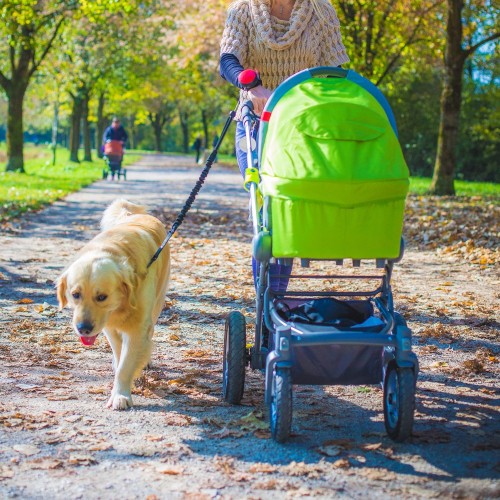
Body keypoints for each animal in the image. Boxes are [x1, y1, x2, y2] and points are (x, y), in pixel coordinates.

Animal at [56, 198, 170, 410]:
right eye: (75, 295)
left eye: (102, 297)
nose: (83, 328)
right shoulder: (107, 325)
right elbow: (118, 352)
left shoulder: (137, 328)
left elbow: (126, 365)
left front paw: (120, 396)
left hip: (157, 302)